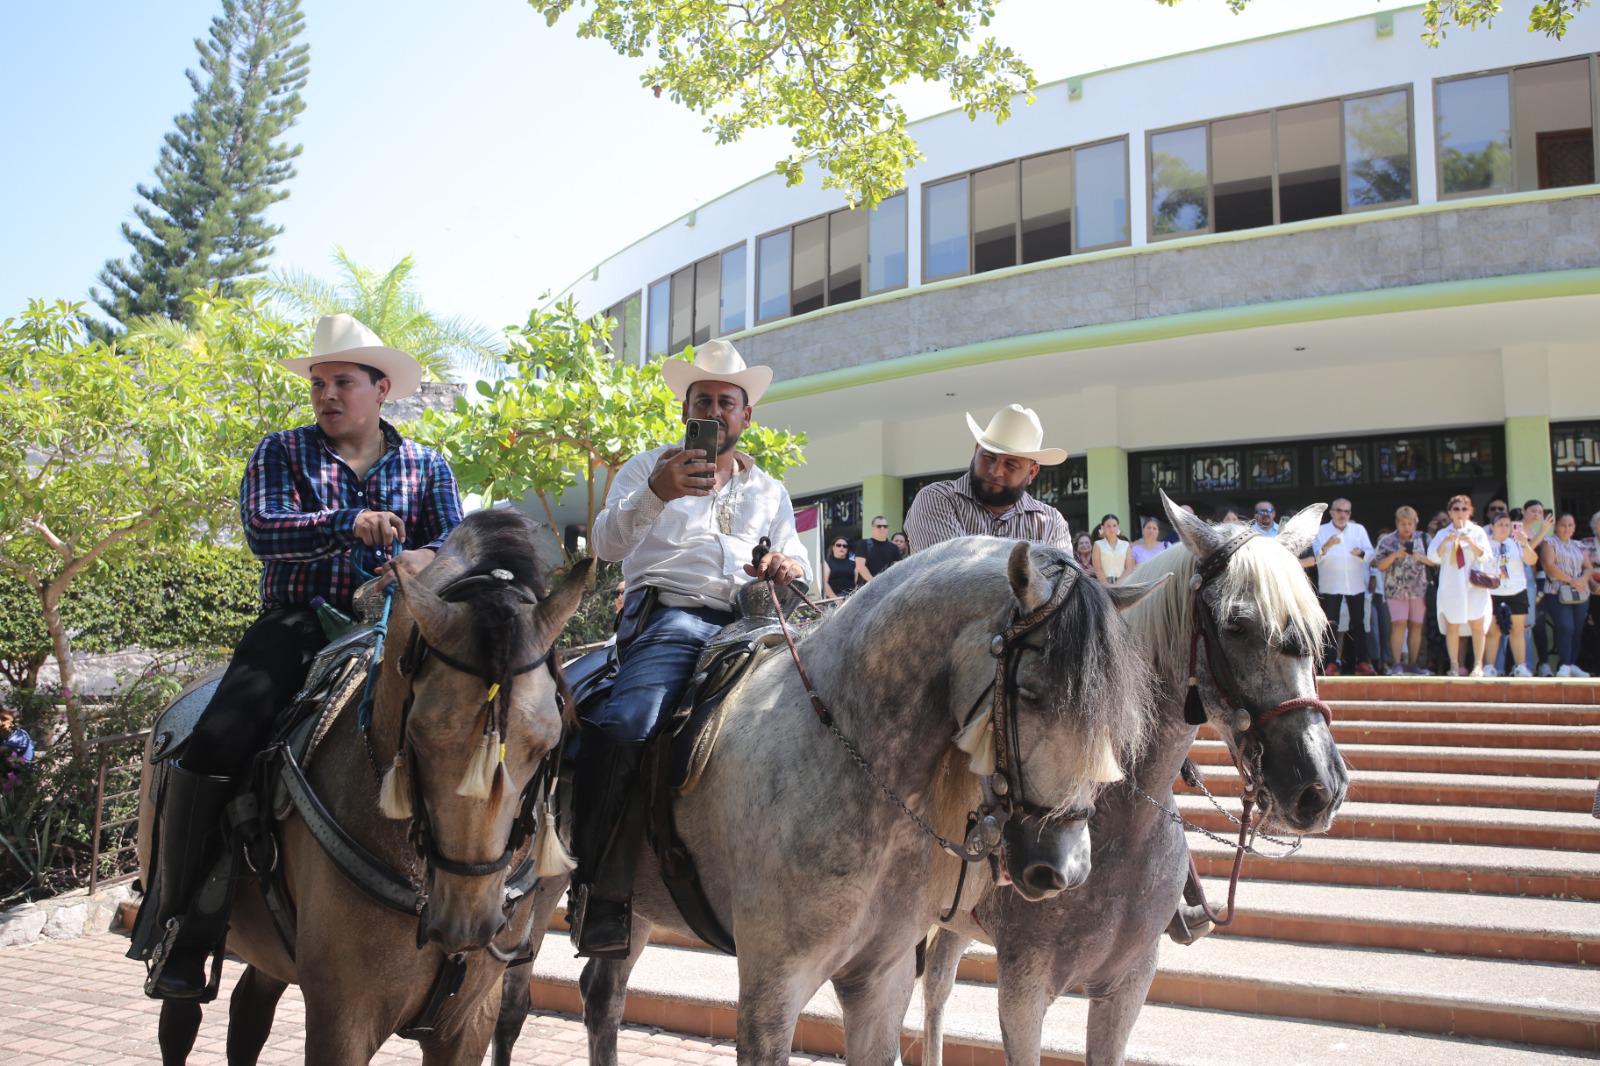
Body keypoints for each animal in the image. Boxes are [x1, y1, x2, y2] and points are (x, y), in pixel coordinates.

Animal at [492, 541, 1158, 1062]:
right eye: (1031, 691)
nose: (1062, 869)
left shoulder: (881, 979)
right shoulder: (773, 983)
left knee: (602, 996)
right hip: (530, 894)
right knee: (511, 1001)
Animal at [928, 496, 1350, 1062]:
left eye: (1313, 628)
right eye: (1237, 626)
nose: (1319, 788)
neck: (1117, 828)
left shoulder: (1129, 983)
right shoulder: (1021, 988)